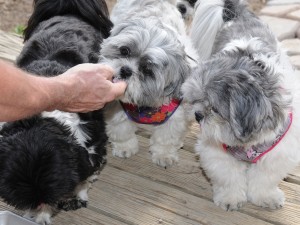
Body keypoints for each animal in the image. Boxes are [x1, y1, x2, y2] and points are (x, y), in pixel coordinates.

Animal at [0, 0, 111, 224]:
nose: (39, 204)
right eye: (31, 202)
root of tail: (69, 11)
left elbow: (88, 174)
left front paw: (79, 195)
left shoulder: (94, 142)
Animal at [101, 0, 199, 167]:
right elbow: (121, 129)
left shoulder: (175, 115)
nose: (126, 70)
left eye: (147, 70)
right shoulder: (117, 106)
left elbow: (166, 137)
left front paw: (164, 155)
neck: (146, 106)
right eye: (124, 51)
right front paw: (124, 147)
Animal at [182, 0, 300, 211]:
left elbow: (264, 178)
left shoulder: (278, 152)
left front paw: (265, 197)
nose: (197, 115)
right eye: (196, 99)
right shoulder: (216, 151)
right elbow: (228, 176)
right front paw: (230, 198)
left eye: (215, 109)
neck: (248, 143)